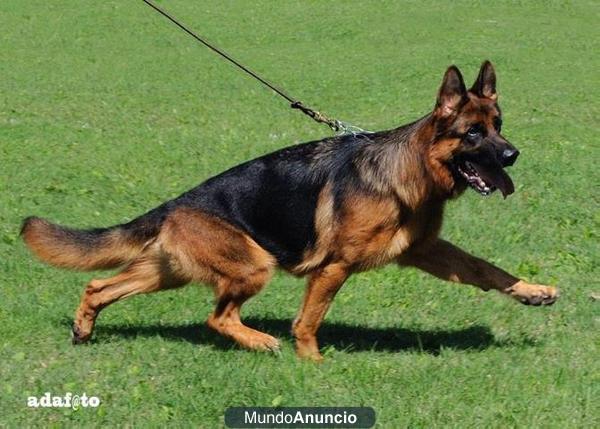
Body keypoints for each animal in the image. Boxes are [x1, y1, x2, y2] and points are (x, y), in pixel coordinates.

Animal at [22, 60, 556, 360]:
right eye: (473, 133)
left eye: (499, 125)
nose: (512, 156)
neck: (409, 172)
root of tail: (174, 205)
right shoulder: (334, 267)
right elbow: (308, 321)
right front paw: (313, 365)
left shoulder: (427, 250)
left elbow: (486, 270)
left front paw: (532, 291)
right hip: (253, 264)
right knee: (217, 318)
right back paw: (261, 342)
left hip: (167, 271)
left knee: (99, 285)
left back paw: (83, 328)